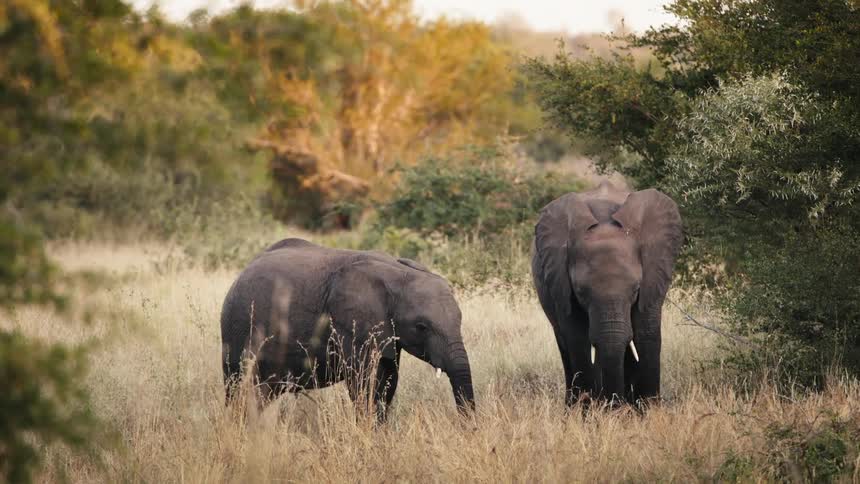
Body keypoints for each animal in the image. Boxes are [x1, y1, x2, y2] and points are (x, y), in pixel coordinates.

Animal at [220, 238, 474, 421]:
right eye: (421, 327)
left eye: (461, 320)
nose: (468, 427)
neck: (399, 273)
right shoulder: (350, 326)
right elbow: (363, 382)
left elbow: (388, 380)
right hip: (237, 328)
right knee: (239, 388)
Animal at [531, 182, 683, 407]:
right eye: (580, 292)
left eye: (635, 289)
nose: (615, 406)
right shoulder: (561, 282)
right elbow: (578, 338)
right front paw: (589, 411)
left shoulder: (653, 275)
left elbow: (646, 332)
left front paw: (649, 410)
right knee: (565, 344)